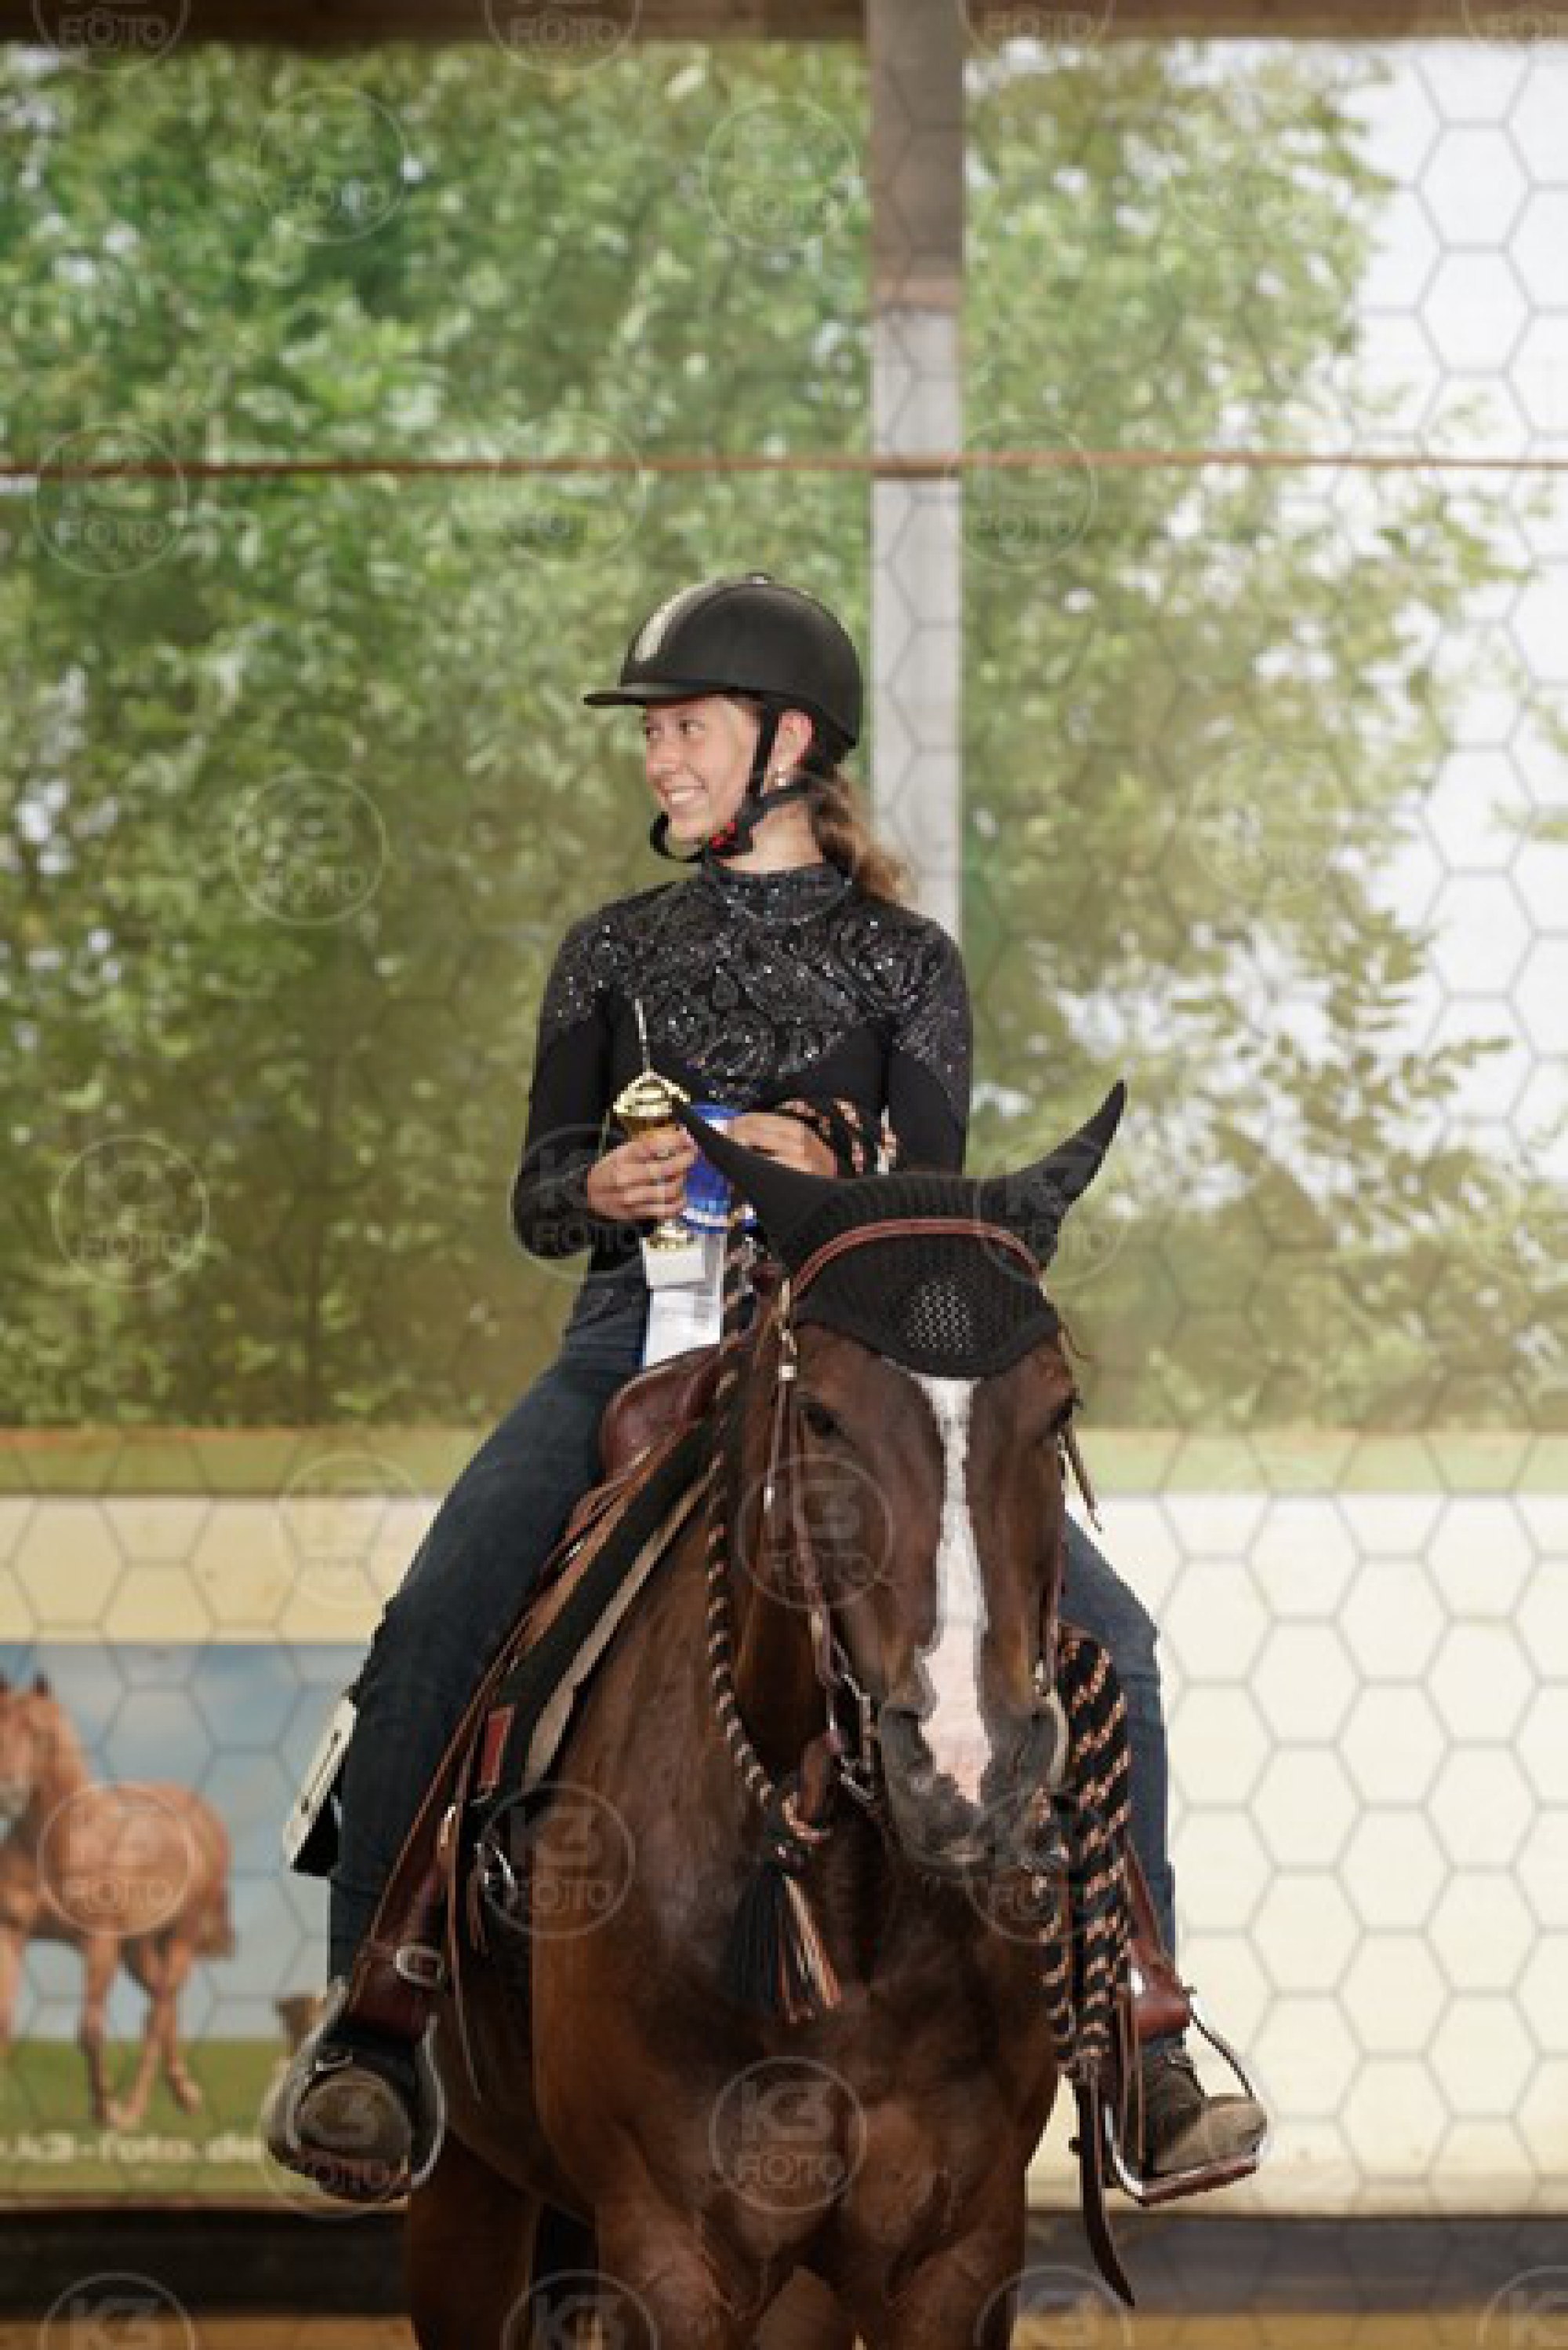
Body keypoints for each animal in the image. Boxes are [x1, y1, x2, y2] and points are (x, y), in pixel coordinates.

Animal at [0, 1672, 233, 2128]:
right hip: (138, 1948)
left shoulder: (99, 1942)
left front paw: (104, 2110)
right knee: (163, 2002)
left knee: (157, 2014)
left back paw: (133, 2112)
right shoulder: (12, 1932)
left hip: (180, 1934)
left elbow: (90, 2032)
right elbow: (4, 2020)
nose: (7, 1792)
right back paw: (184, 2095)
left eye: (39, 1733)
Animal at [405, 1088, 1127, 2350]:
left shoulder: (953, 2256)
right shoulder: (670, 2251)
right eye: (825, 1415)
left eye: (1058, 1408)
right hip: (465, 2202)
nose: (963, 1764)